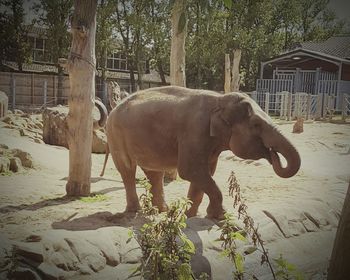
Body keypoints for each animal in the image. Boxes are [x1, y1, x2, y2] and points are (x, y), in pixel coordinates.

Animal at [96, 85, 300, 219]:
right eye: (256, 124)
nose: (272, 154)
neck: (220, 99)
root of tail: (114, 108)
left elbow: (206, 171)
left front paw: (189, 214)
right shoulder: (195, 131)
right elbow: (190, 170)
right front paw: (220, 216)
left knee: (154, 173)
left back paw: (162, 211)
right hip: (115, 135)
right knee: (128, 170)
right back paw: (135, 211)